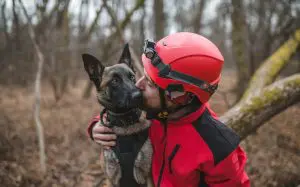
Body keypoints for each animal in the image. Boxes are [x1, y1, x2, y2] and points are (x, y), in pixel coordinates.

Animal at [81, 44, 152, 187]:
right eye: (114, 81)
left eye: (132, 77)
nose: (139, 96)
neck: (124, 122)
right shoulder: (111, 180)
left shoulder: (148, 177)